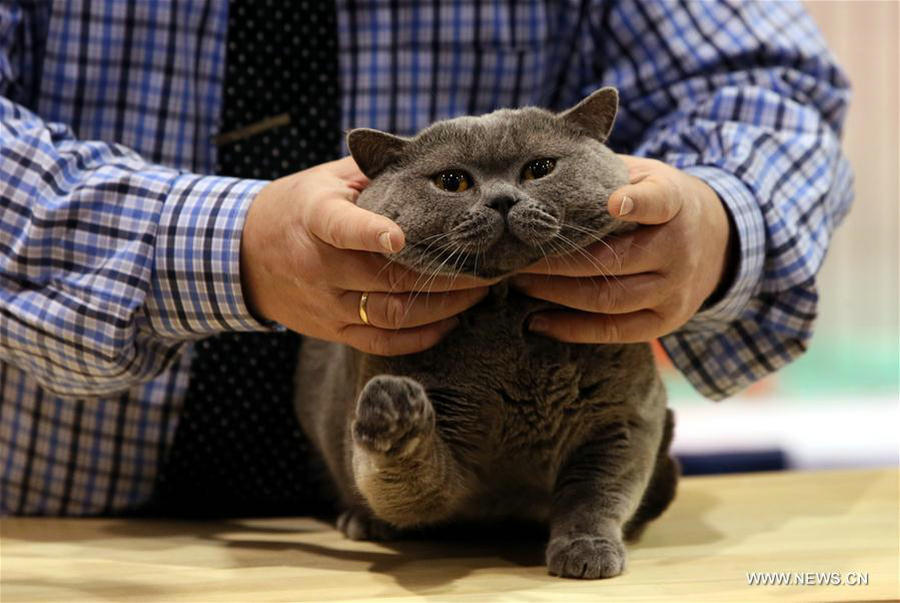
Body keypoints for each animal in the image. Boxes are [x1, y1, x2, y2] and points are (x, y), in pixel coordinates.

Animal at [294, 88, 676, 580]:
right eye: (452, 181)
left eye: (539, 168)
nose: (502, 199)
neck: (509, 325)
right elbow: (410, 483)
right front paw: (394, 414)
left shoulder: (625, 418)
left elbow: (595, 493)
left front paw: (586, 550)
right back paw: (363, 518)